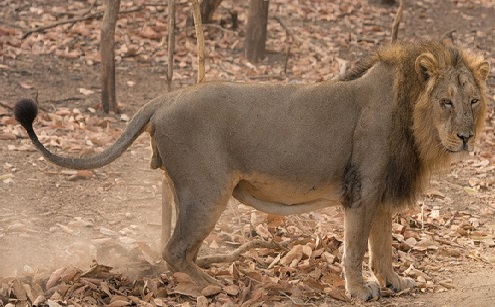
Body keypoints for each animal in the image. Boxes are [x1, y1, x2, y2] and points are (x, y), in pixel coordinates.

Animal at [13, 40, 490, 300]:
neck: (413, 118)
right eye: (446, 102)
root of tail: (165, 98)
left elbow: (383, 246)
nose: (466, 137)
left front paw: (393, 282)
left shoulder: (383, 193)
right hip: (206, 191)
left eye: (473, 101)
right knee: (174, 250)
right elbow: (356, 249)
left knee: (178, 249)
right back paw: (214, 286)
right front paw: (359, 291)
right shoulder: (362, 190)